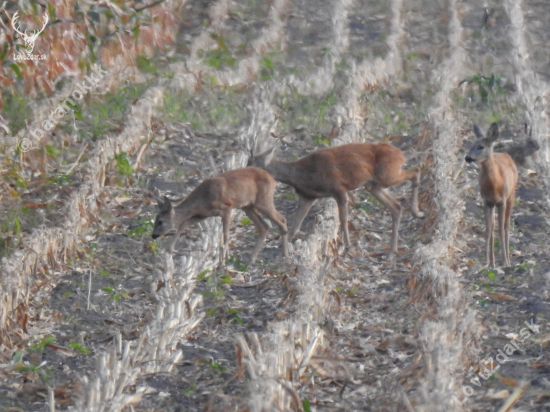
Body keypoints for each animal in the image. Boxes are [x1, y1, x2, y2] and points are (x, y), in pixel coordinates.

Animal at [151, 167, 288, 266]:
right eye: (155, 220)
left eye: (160, 221)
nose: (153, 235)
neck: (203, 199)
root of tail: (272, 179)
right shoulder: (203, 214)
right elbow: (183, 223)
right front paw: (169, 249)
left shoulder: (227, 208)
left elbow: (226, 236)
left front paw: (222, 262)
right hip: (248, 206)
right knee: (264, 226)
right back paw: (251, 260)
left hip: (263, 201)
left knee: (282, 220)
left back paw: (284, 256)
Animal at [248, 142, 424, 258]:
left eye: (253, 164)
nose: (245, 173)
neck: (301, 175)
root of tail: (400, 153)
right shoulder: (307, 196)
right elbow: (295, 225)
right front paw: (282, 252)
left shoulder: (338, 188)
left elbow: (343, 219)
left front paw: (348, 247)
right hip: (373, 184)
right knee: (396, 206)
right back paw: (392, 250)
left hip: (387, 174)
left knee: (416, 170)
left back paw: (417, 212)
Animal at [468, 122, 520, 268]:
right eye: (471, 145)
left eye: (481, 146)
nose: (467, 158)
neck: (495, 184)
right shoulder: (487, 202)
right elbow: (488, 231)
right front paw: (488, 262)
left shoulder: (502, 201)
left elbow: (501, 230)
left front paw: (504, 261)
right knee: (493, 227)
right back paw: (493, 261)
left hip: (511, 196)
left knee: (506, 226)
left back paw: (508, 260)